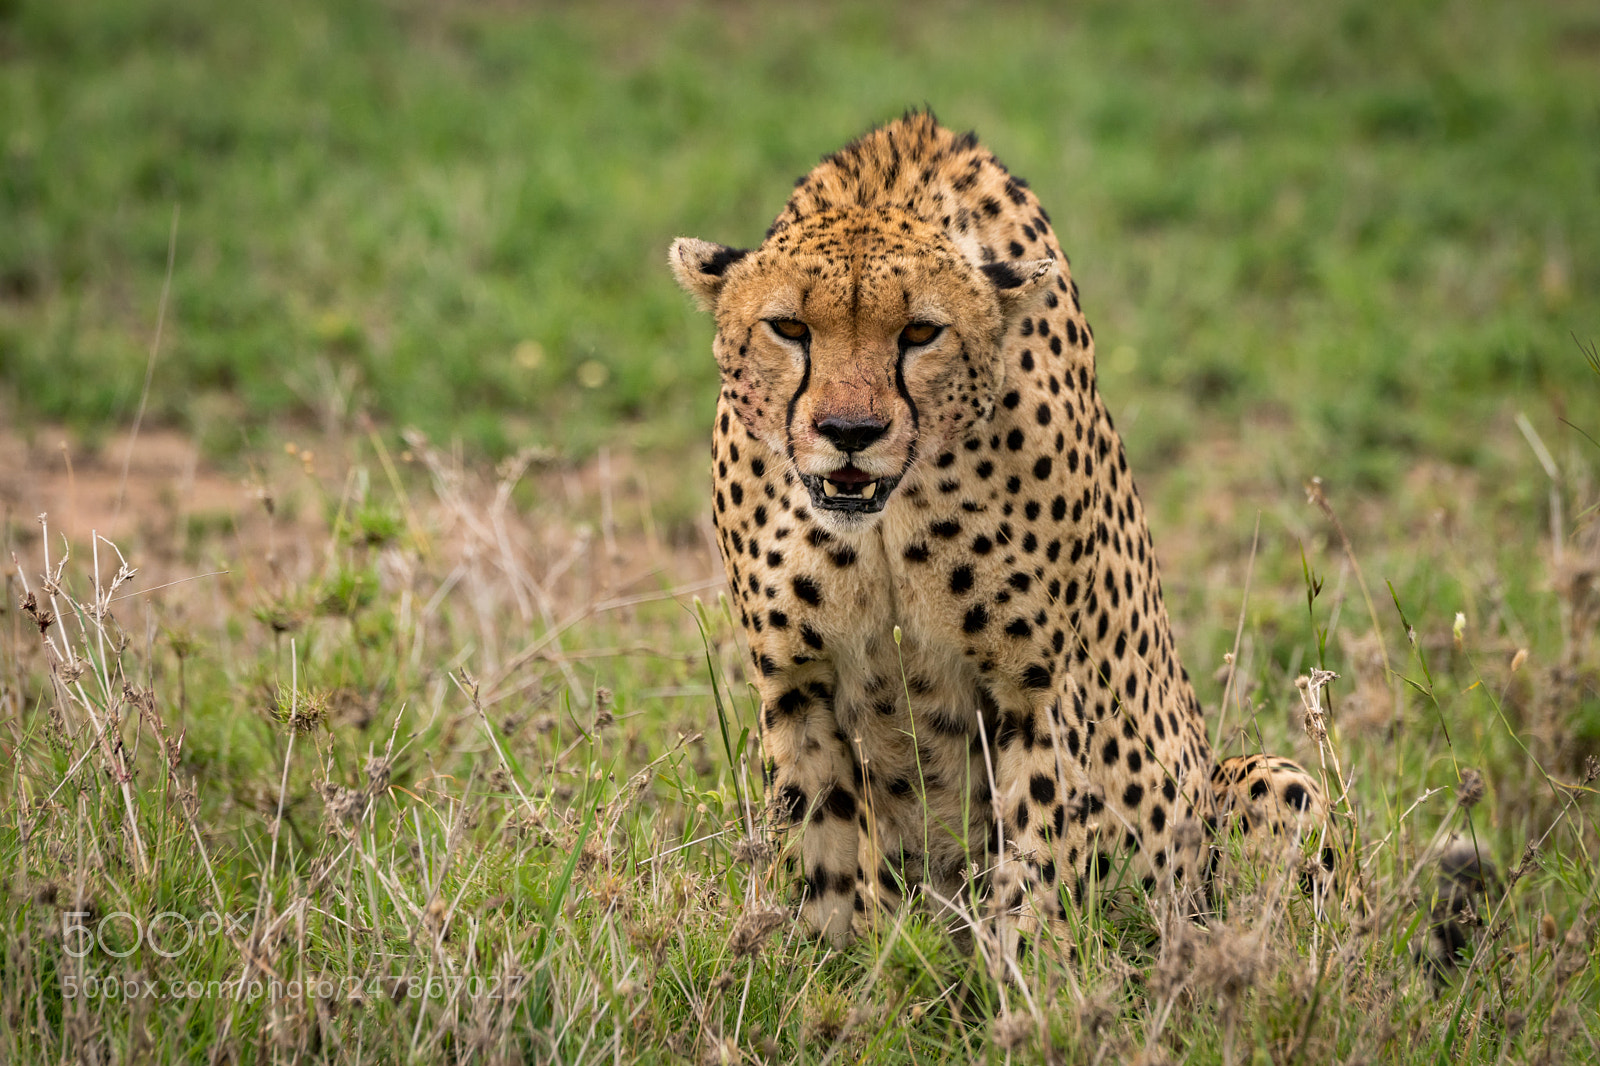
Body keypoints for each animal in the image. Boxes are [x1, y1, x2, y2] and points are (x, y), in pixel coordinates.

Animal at [670, 111, 1329, 960]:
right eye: (789, 328)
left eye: (921, 332)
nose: (850, 432)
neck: (887, 517)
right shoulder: (796, 683)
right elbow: (824, 859)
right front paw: (823, 978)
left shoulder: (1038, 690)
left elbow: (1036, 865)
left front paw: (1030, 985)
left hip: (1266, 782)